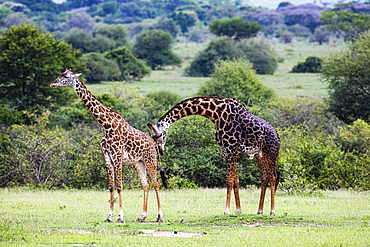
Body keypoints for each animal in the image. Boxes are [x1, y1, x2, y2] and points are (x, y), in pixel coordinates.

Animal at [50, 67, 162, 222]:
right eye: (60, 74)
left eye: (66, 76)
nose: (53, 83)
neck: (106, 125)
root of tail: (153, 142)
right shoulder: (107, 157)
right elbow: (111, 187)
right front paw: (109, 216)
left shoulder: (117, 157)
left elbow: (119, 186)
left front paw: (120, 216)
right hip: (139, 162)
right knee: (146, 184)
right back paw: (142, 216)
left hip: (150, 159)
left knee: (156, 183)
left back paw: (159, 216)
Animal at [146, 97, 278, 216]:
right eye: (153, 137)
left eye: (161, 134)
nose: (160, 151)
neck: (216, 114)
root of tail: (277, 136)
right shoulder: (227, 150)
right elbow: (236, 180)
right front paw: (238, 210)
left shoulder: (230, 149)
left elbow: (229, 179)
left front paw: (227, 210)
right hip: (260, 155)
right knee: (264, 178)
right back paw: (260, 210)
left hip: (271, 153)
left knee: (273, 177)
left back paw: (272, 211)